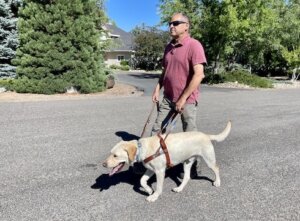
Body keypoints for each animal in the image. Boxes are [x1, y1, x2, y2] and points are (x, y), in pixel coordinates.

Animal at [102, 121, 231, 202]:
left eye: (115, 155)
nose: (104, 164)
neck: (142, 148)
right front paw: (149, 190)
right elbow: (142, 181)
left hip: (209, 160)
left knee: (216, 168)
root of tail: (206, 135)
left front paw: (154, 196)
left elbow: (159, 187)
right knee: (187, 177)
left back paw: (217, 182)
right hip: (187, 162)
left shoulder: (159, 171)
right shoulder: (150, 170)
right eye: (111, 153)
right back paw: (179, 188)